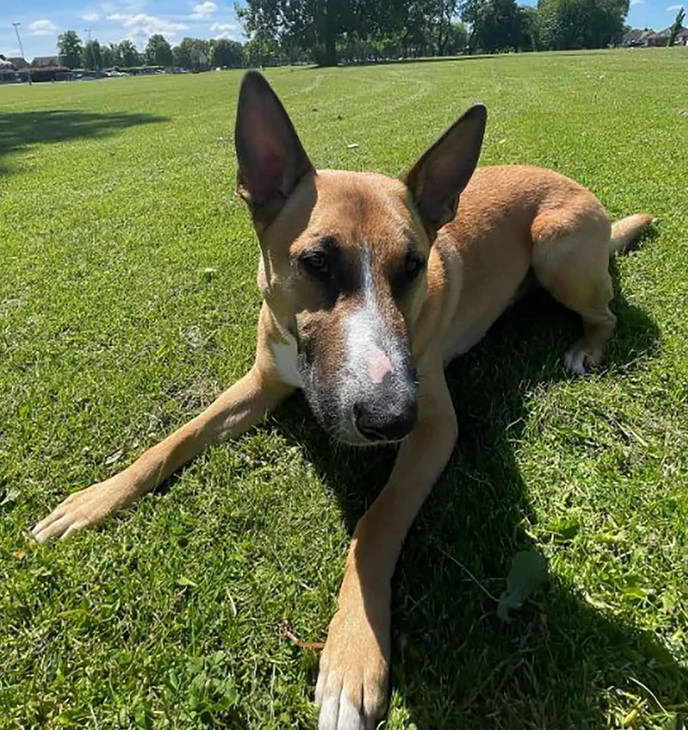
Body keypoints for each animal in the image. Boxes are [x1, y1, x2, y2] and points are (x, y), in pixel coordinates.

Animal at [32, 69, 652, 728]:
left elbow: (375, 526)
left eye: (413, 266)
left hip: (556, 247)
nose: (389, 417)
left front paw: (354, 653)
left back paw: (586, 346)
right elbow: (177, 437)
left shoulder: (434, 426)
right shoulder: (260, 382)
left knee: (607, 314)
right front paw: (93, 500)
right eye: (316, 262)